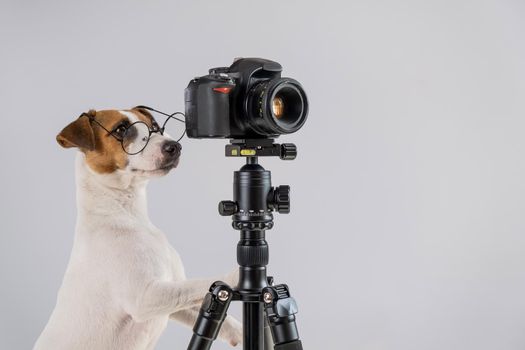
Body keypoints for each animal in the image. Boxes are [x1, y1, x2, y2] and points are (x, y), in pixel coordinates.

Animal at [33, 107, 243, 350]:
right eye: (121, 129)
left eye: (155, 127)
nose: (174, 146)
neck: (128, 214)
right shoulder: (145, 298)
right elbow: (201, 284)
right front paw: (236, 275)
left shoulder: (172, 302)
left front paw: (242, 332)